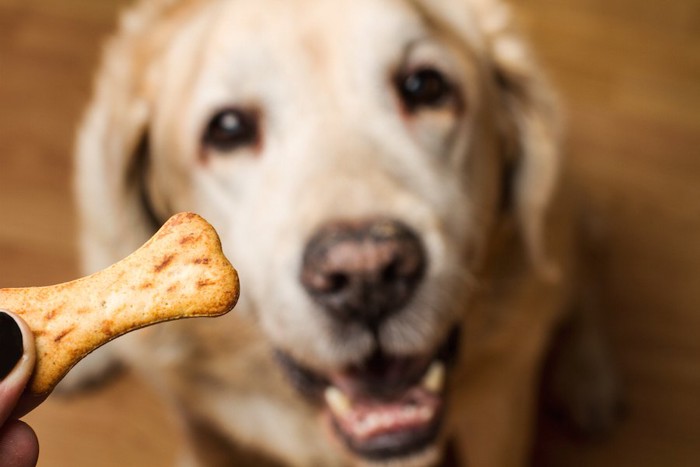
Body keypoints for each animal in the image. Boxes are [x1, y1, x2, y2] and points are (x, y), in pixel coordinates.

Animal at [69, 1, 616, 466]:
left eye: (424, 87)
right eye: (228, 129)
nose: (366, 275)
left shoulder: (500, 404)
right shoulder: (200, 418)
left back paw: (590, 376)